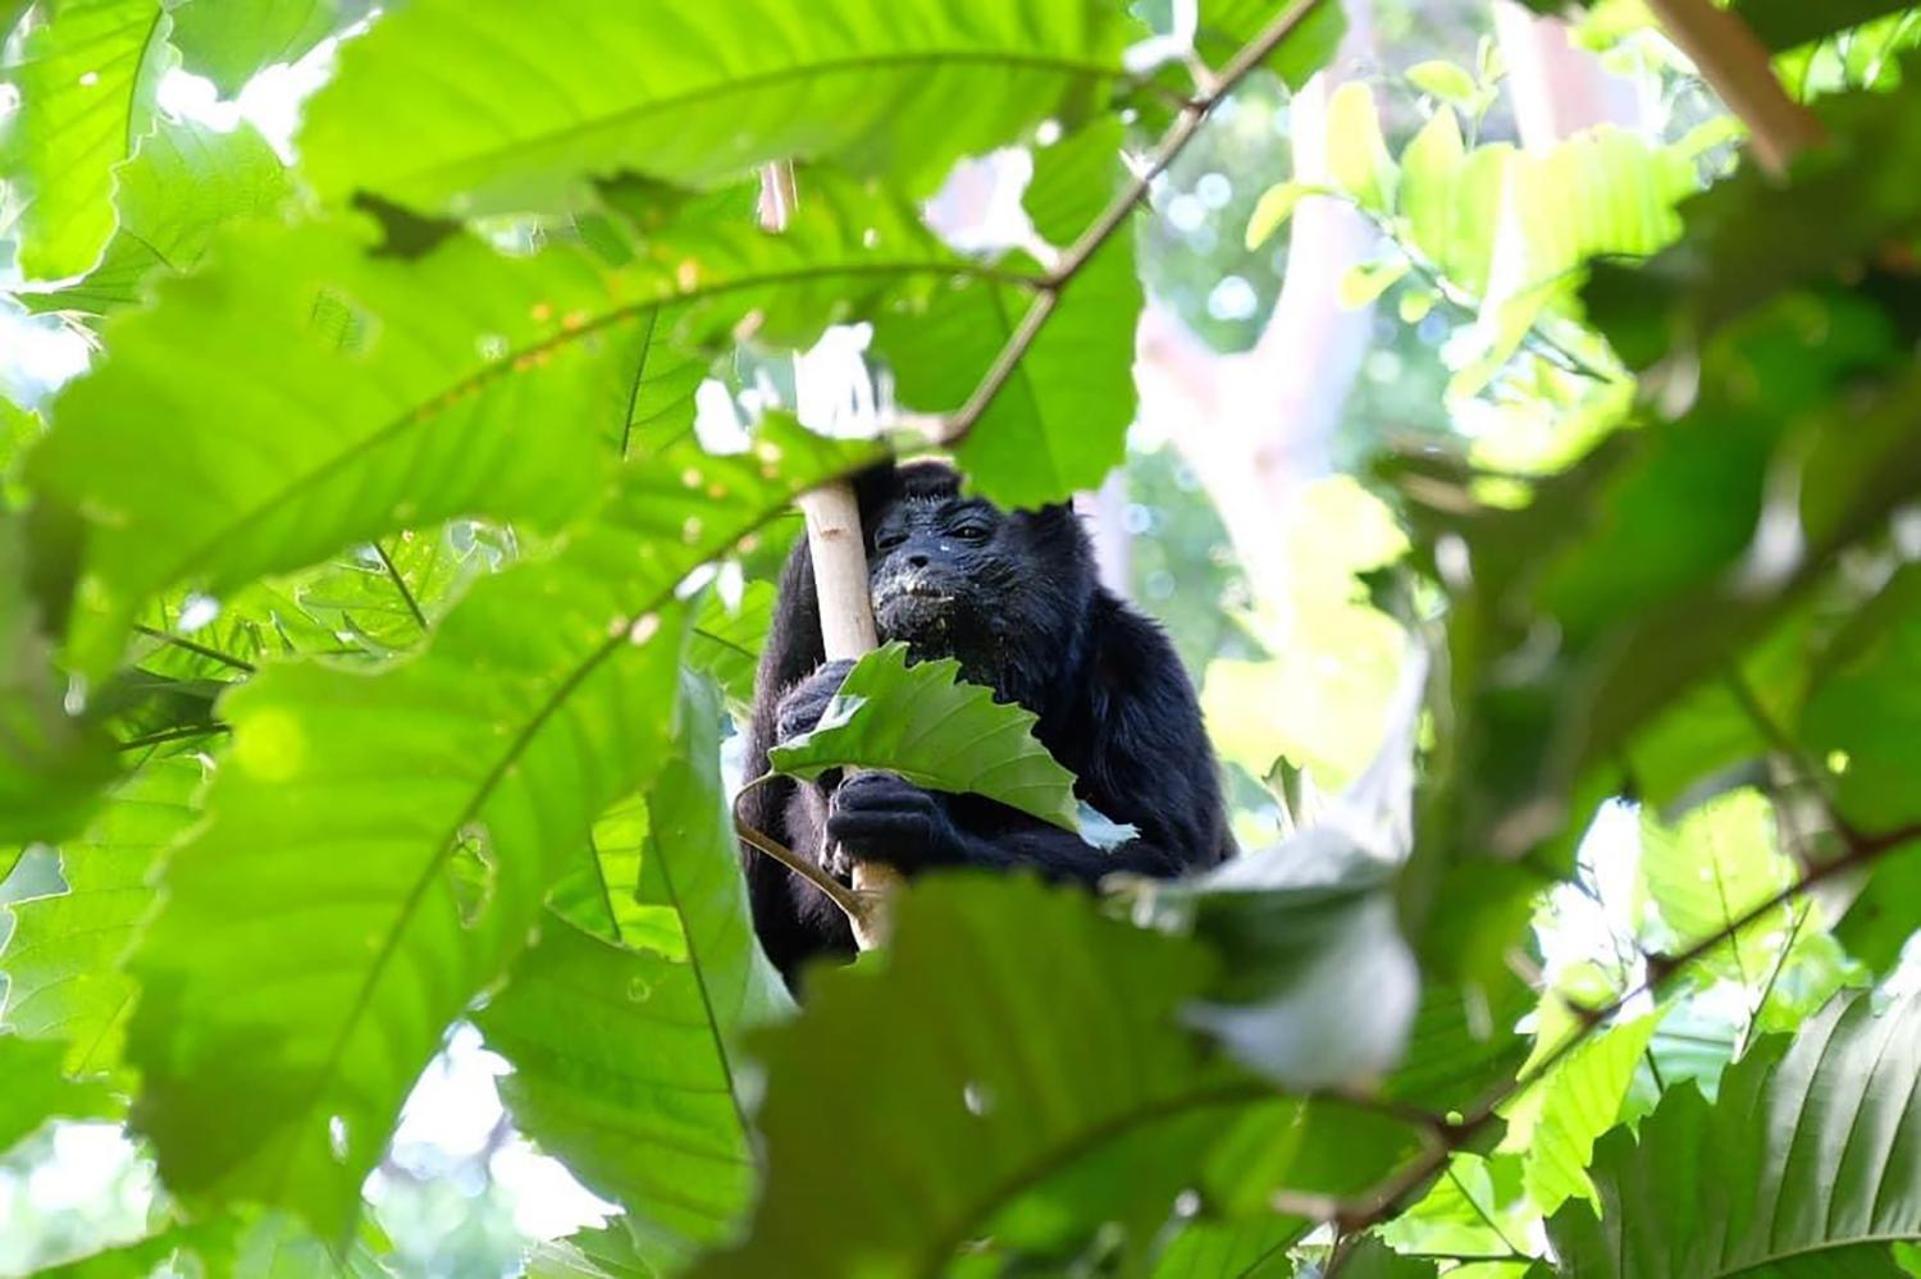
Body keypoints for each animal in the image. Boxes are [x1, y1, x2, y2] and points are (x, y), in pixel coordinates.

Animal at [733, 462, 1229, 979]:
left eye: (967, 532)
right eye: (888, 541)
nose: (912, 557)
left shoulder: (1143, 668)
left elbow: (1164, 866)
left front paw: (918, 830)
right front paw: (816, 714)